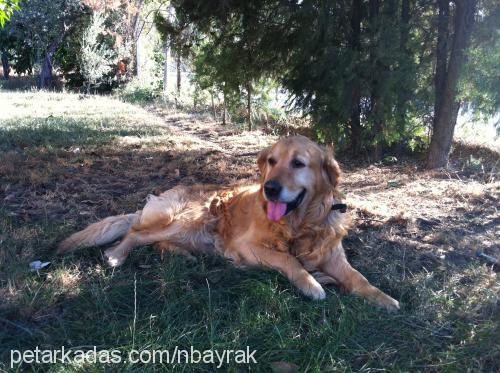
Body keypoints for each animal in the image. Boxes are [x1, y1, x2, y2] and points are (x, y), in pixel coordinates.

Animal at [57, 135, 398, 310]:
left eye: (299, 163)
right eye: (272, 161)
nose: (270, 188)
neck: (301, 223)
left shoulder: (333, 255)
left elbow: (359, 278)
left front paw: (384, 298)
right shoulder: (246, 246)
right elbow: (289, 260)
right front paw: (312, 284)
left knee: (157, 243)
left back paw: (183, 255)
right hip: (189, 217)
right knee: (135, 233)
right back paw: (116, 254)